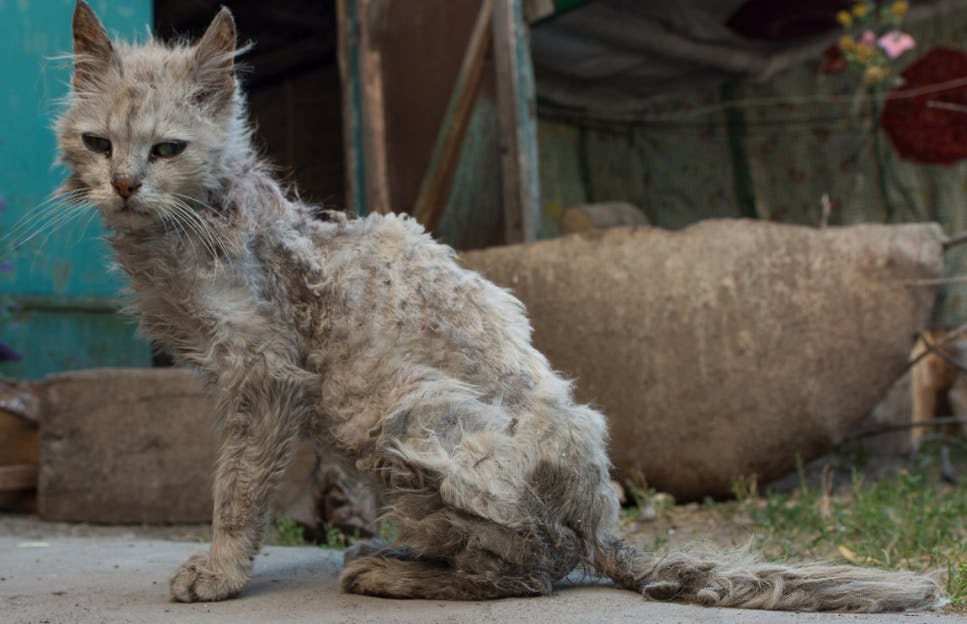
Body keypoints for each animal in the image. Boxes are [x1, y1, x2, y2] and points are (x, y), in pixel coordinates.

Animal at [56, 2, 940, 612]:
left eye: (168, 149)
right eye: (98, 145)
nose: (124, 185)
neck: (192, 227)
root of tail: (603, 527)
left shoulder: (266, 374)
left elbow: (236, 486)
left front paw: (219, 571)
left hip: (405, 413)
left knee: (529, 569)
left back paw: (389, 571)